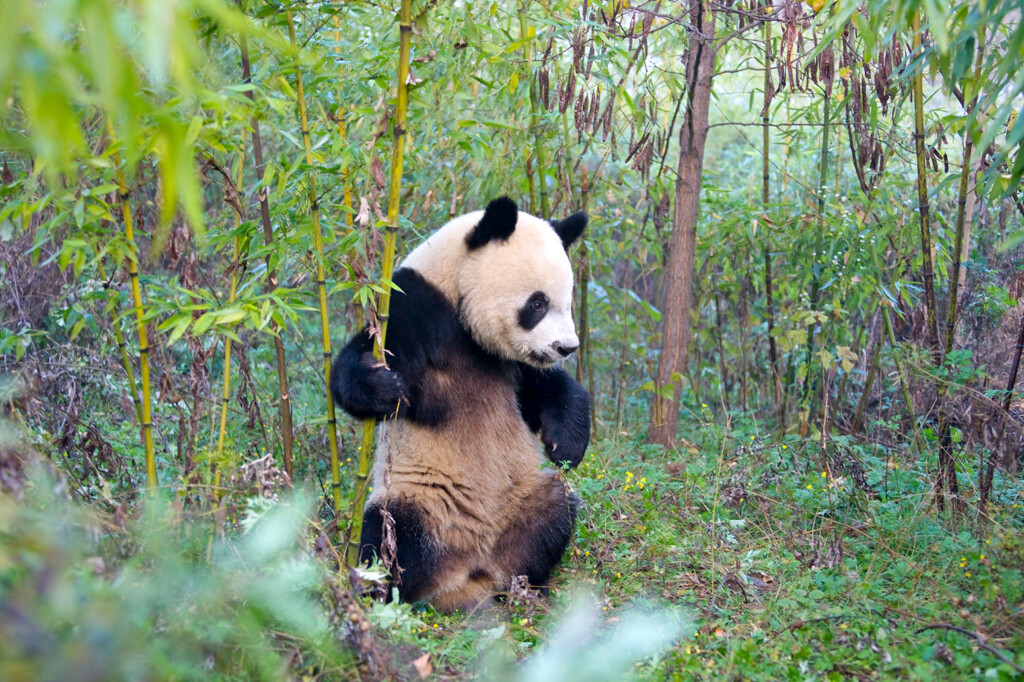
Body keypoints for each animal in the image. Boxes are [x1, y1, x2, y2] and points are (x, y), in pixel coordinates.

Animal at [331, 196, 590, 612]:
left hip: (522, 500)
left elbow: (544, 390)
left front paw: (565, 444)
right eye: (537, 304)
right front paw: (381, 385)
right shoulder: (412, 309)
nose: (565, 347)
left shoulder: (512, 363)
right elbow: (362, 360)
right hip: (417, 501)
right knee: (387, 538)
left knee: (557, 510)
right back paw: (379, 591)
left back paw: (525, 584)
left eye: (567, 304)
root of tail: (468, 571)